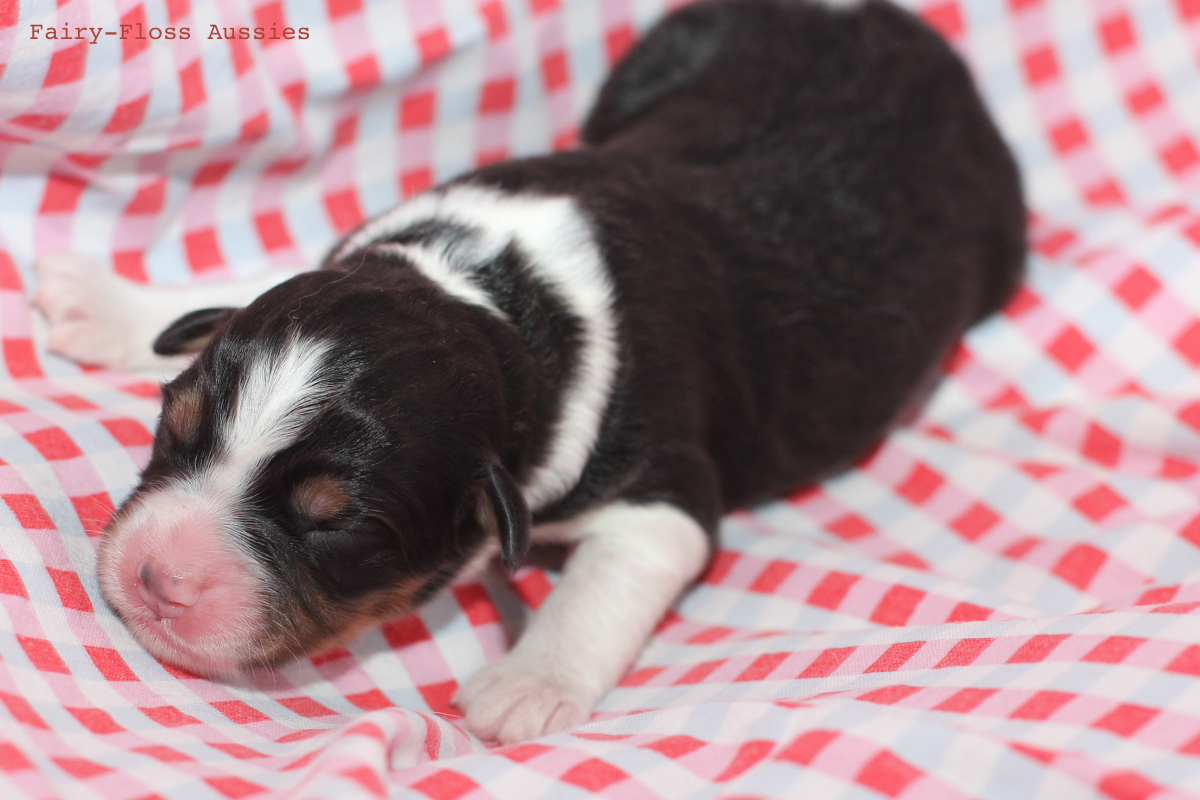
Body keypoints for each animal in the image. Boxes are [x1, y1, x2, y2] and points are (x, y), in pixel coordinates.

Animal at [30, 0, 1022, 748]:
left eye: (337, 525)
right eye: (175, 430)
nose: (156, 577)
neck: (496, 302)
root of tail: (883, 18)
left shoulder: (662, 493)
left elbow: (602, 588)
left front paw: (526, 685)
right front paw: (108, 302)